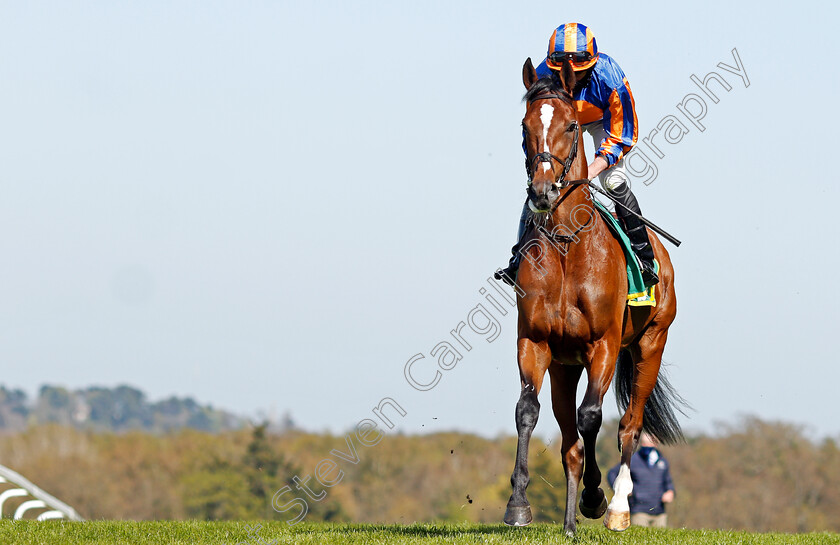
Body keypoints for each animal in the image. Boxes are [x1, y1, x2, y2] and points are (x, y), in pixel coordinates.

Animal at [502, 57, 684, 532]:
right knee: (570, 442)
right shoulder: (535, 342)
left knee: (629, 425)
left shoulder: (603, 344)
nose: (543, 191)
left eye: (570, 125)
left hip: (651, 343)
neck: (569, 244)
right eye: (525, 125)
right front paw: (518, 504)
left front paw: (596, 498)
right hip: (564, 367)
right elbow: (527, 411)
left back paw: (617, 507)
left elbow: (593, 416)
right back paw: (568, 523)